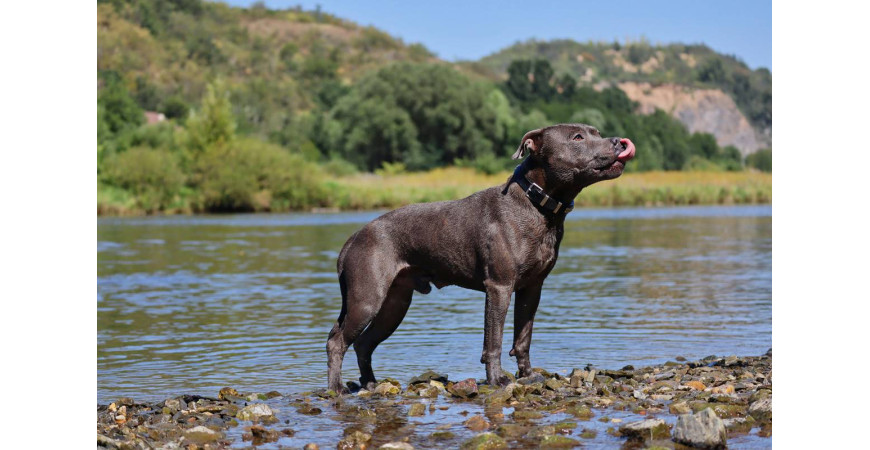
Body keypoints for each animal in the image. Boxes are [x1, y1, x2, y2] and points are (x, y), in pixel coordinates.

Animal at [326, 124, 632, 394]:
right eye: (577, 137)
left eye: (597, 133)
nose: (619, 142)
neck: (538, 203)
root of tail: (353, 237)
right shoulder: (499, 287)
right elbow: (493, 340)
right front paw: (497, 380)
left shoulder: (531, 289)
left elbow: (523, 338)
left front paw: (528, 376)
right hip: (367, 300)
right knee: (336, 341)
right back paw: (336, 388)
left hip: (394, 305)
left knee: (364, 344)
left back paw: (370, 383)